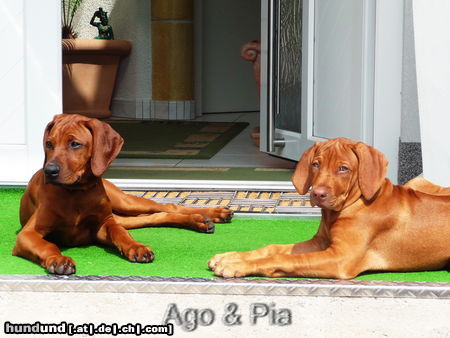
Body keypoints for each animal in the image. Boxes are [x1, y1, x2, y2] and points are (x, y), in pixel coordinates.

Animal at [12, 113, 234, 274]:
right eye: (49, 144)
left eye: (74, 144)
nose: (49, 171)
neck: (76, 193)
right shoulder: (27, 234)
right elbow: (47, 245)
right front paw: (58, 259)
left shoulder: (104, 224)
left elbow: (119, 232)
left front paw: (136, 247)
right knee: (155, 216)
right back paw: (200, 220)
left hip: (124, 202)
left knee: (166, 206)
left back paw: (213, 214)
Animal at [209, 139, 448, 278]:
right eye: (316, 164)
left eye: (343, 168)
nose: (318, 194)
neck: (352, 205)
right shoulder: (320, 243)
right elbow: (273, 248)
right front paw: (232, 256)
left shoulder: (341, 257)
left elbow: (285, 258)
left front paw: (237, 265)